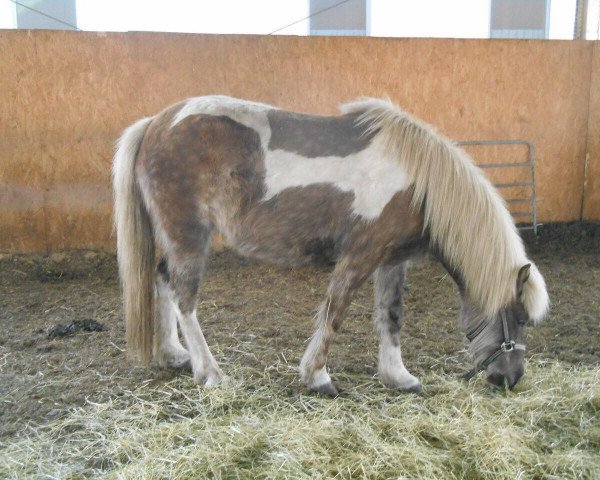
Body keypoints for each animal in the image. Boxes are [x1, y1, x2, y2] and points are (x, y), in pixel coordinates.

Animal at [112, 95, 548, 396]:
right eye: (519, 318)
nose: (511, 379)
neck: (419, 181)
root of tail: (156, 124)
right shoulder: (360, 256)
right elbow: (334, 313)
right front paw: (318, 376)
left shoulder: (391, 260)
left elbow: (391, 316)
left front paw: (398, 376)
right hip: (190, 235)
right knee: (184, 300)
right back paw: (211, 373)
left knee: (163, 281)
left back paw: (174, 355)